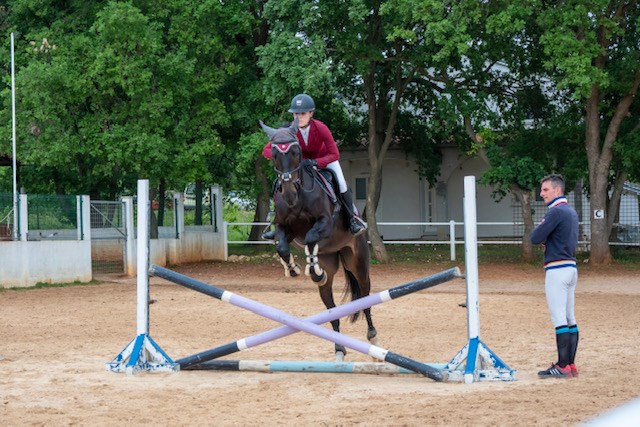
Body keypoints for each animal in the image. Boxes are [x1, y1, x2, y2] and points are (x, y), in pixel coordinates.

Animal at [260, 117, 378, 362]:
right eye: (274, 154)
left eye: (296, 151)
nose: (288, 193)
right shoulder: (284, 228)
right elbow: (282, 247)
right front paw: (293, 268)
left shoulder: (325, 223)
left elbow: (312, 236)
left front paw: (312, 270)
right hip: (331, 263)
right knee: (331, 308)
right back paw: (339, 348)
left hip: (358, 261)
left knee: (365, 298)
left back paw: (373, 339)